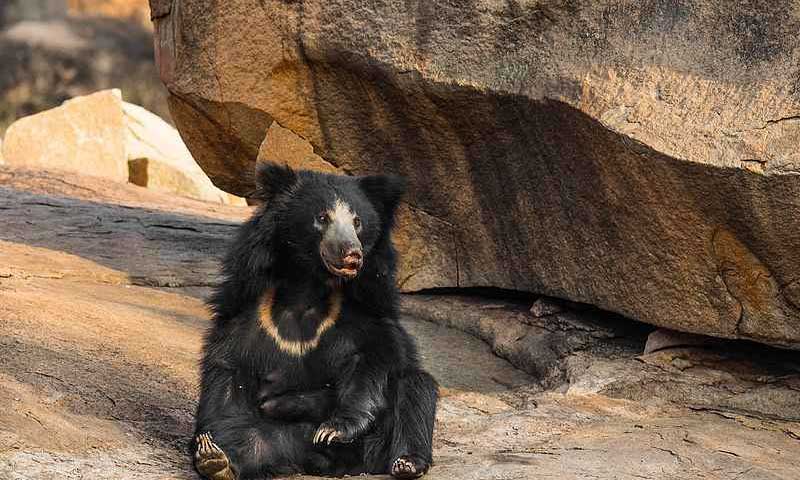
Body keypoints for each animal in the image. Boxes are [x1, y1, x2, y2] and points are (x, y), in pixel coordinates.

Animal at [192, 163, 438, 478]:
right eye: (322, 218)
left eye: (357, 222)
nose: (352, 254)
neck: (307, 284)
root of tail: (335, 465)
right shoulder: (248, 312)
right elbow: (228, 370)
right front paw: (210, 448)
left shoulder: (367, 309)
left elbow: (372, 360)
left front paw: (334, 430)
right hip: (281, 438)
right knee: (252, 440)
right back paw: (217, 461)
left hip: (377, 444)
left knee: (416, 387)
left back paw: (407, 462)